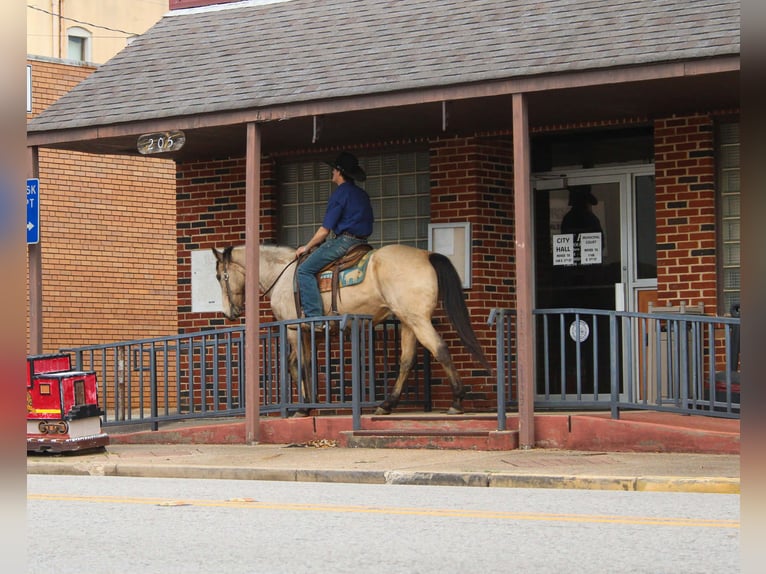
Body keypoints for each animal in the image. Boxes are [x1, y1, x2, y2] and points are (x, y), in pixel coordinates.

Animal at [212, 243, 493, 415]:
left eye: (218, 276)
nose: (228, 313)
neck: (281, 275)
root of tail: (426, 254)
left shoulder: (293, 328)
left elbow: (298, 364)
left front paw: (303, 407)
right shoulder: (308, 332)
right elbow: (303, 363)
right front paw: (310, 403)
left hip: (417, 319)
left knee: (440, 349)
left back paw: (457, 400)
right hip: (408, 321)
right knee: (407, 360)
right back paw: (387, 404)